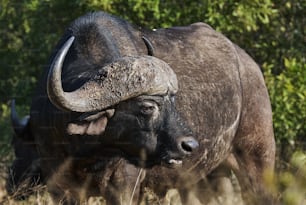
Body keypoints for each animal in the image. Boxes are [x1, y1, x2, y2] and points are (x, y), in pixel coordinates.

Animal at [7, 11, 276, 205]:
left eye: (172, 101)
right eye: (148, 107)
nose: (189, 145)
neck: (87, 154)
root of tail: (251, 67)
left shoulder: (125, 189)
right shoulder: (61, 188)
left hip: (258, 158)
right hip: (209, 177)